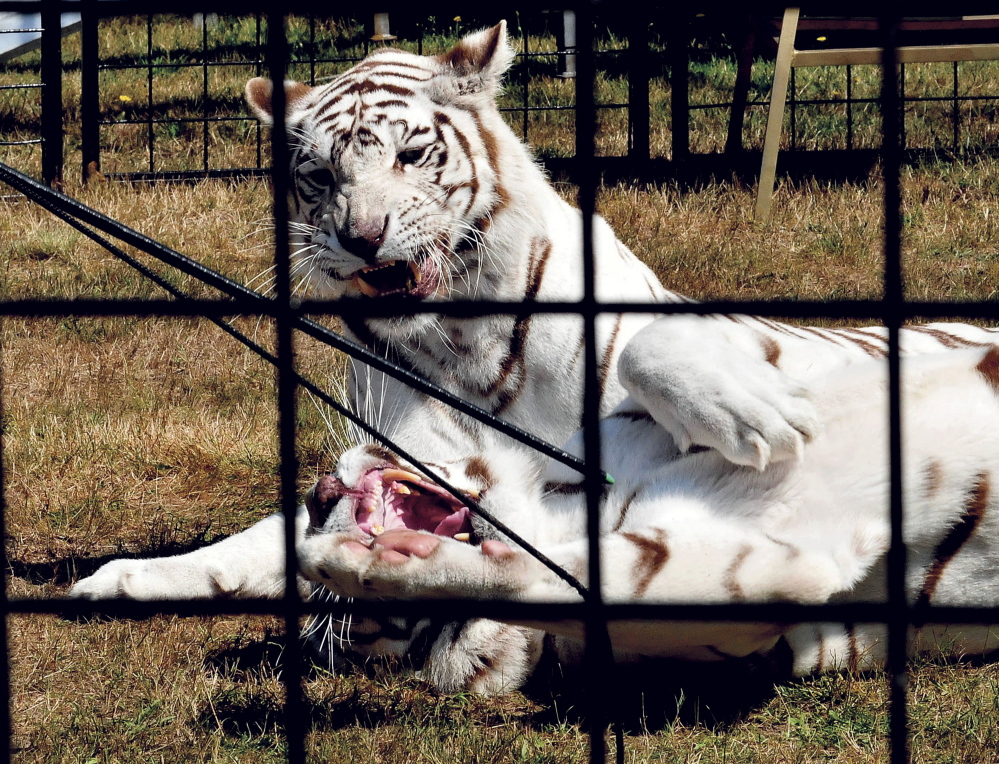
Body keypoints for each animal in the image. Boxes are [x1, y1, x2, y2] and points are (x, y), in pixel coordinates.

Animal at [70, 22, 999, 692]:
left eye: (411, 154)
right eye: (319, 176)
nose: (360, 237)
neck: (463, 340)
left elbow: (662, 354)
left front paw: (753, 413)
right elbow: (260, 544)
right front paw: (128, 580)